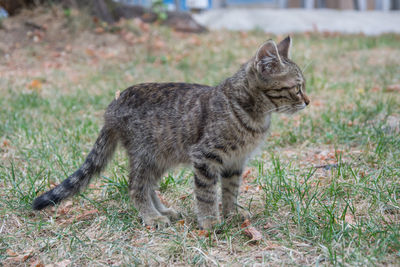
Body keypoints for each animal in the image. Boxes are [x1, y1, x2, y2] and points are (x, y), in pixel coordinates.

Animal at [33, 36, 310, 230]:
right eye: (296, 88)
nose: (308, 101)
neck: (252, 112)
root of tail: (113, 105)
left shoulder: (235, 161)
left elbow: (231, 190)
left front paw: (232, 213)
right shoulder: (205, 156)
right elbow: (207, 194)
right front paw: (210, 222)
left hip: (160, 157)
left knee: (148, 185)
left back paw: (163, 211)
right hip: (146, 154)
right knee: (135, 186)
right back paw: (151, 217)